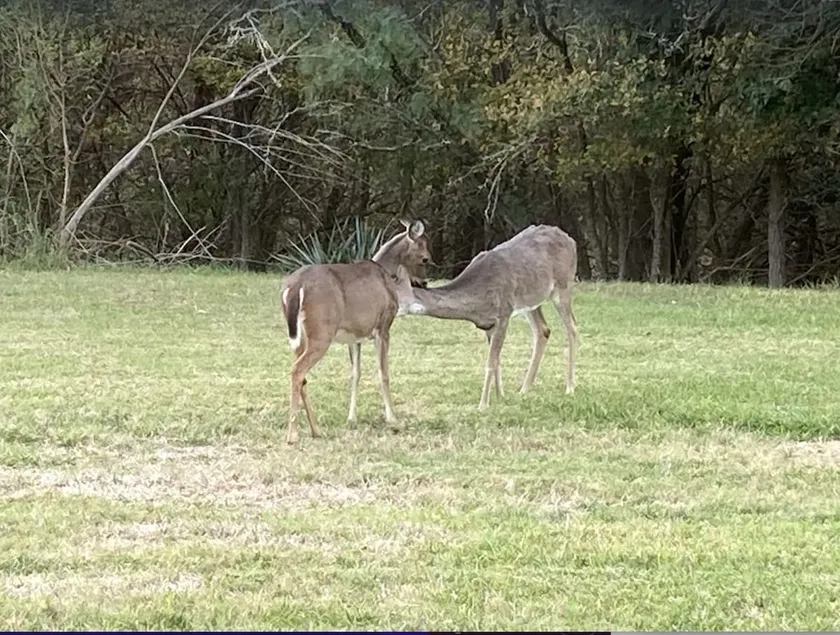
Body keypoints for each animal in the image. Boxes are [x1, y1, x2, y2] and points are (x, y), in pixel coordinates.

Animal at [280, 220, 431, 445]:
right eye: (425, 258)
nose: (424, 282)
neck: (386, 273)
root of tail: (294, 286)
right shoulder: (384, 326)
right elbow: (383, 372)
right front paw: (392, 418)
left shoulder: (355, 336)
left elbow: (355, 373)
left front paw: (351, 418)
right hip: (321, 332)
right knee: (297, 370)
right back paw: (292, 434)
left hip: (301, 337)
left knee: (301, 374)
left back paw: (316, 430)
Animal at [401, 224, 578, 410]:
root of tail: (570, 239)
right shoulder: (487, 324)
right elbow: (497, 361)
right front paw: (500, 397)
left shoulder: (503, 314)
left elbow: (490, 362)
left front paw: (483, 405)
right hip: (532, 300)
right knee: (543, 330)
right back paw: (524, 389)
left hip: (563, 285)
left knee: (572, 328)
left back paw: (570, 387)